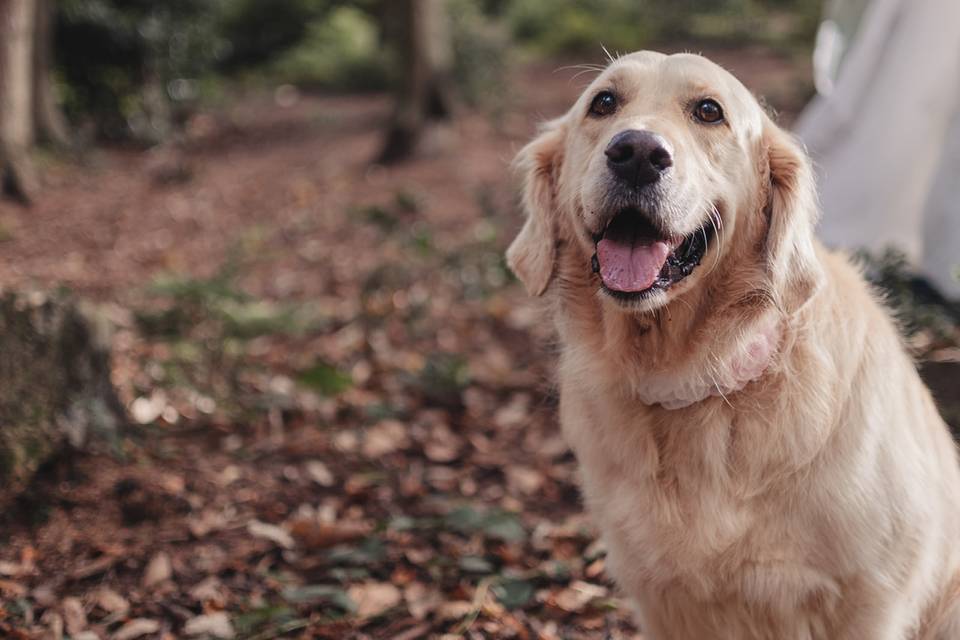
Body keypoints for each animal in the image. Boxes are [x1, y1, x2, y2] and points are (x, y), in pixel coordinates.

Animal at [506, 51, 960, 640]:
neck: (695, 376)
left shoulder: (871, 599)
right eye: (603, 102)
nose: (637, 154)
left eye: (708, 111)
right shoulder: (662, 601)